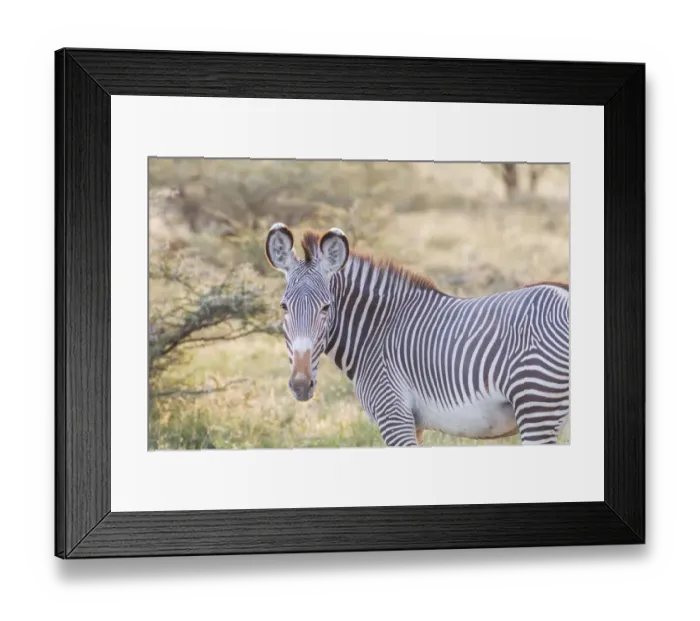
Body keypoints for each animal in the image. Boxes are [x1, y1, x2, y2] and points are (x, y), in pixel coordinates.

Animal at [264, 222, 570, 447]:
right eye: (284, 307)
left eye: (326, 307)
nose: (301, 385)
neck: (376, 331)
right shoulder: (414, 425)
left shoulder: (393, 414)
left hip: (536, 405)